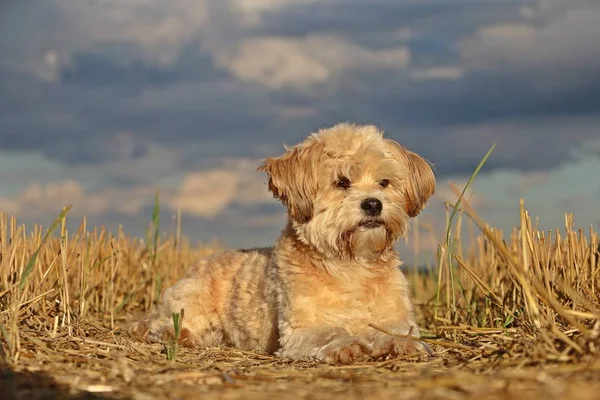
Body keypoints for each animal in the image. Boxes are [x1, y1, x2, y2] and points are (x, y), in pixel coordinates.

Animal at [131, 123, 434, 364]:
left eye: (384, 182)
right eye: (342, 182)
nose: (373, 204)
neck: (352, 265)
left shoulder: (395, 317)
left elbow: (397, 331)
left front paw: (401, 342)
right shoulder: (300, 330)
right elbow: (330, 331)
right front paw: (346, 344)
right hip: (190, 302)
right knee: (158, 325)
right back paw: (177, 334)